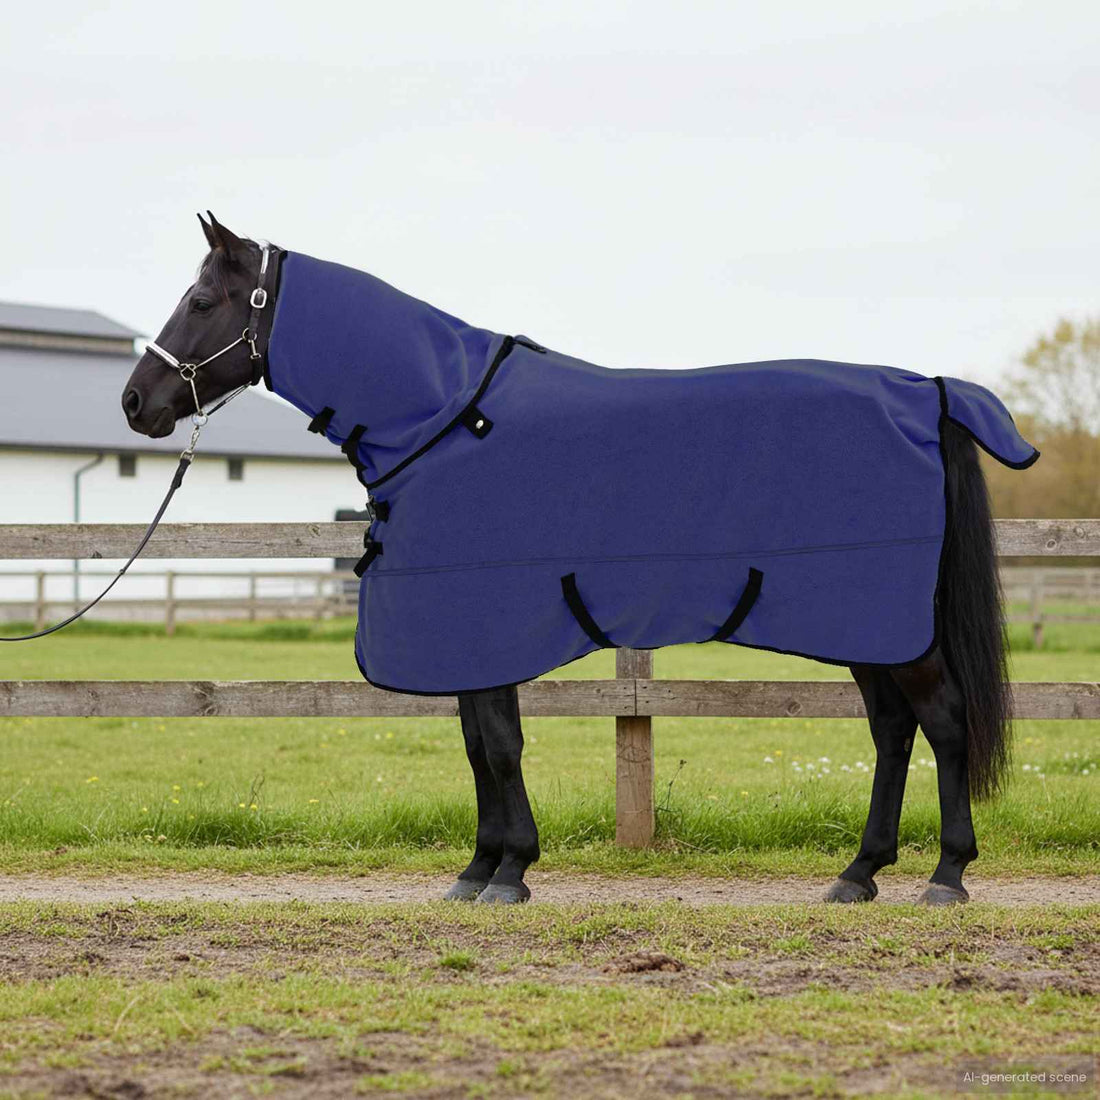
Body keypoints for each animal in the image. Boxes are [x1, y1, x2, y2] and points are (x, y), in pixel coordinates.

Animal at [122, 213, 1035, 906]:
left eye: (201, 299)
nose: (136, 402)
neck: (445, 417)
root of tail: (926, 391)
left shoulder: (486, 625)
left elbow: (498, 746)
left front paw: (510, 873)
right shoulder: (466, 636)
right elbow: (478, 746)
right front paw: (478, 869)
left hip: (892, 629)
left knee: (943, 722)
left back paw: (947, 876)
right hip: (866, 628)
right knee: (892, 731)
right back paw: (859, 873)